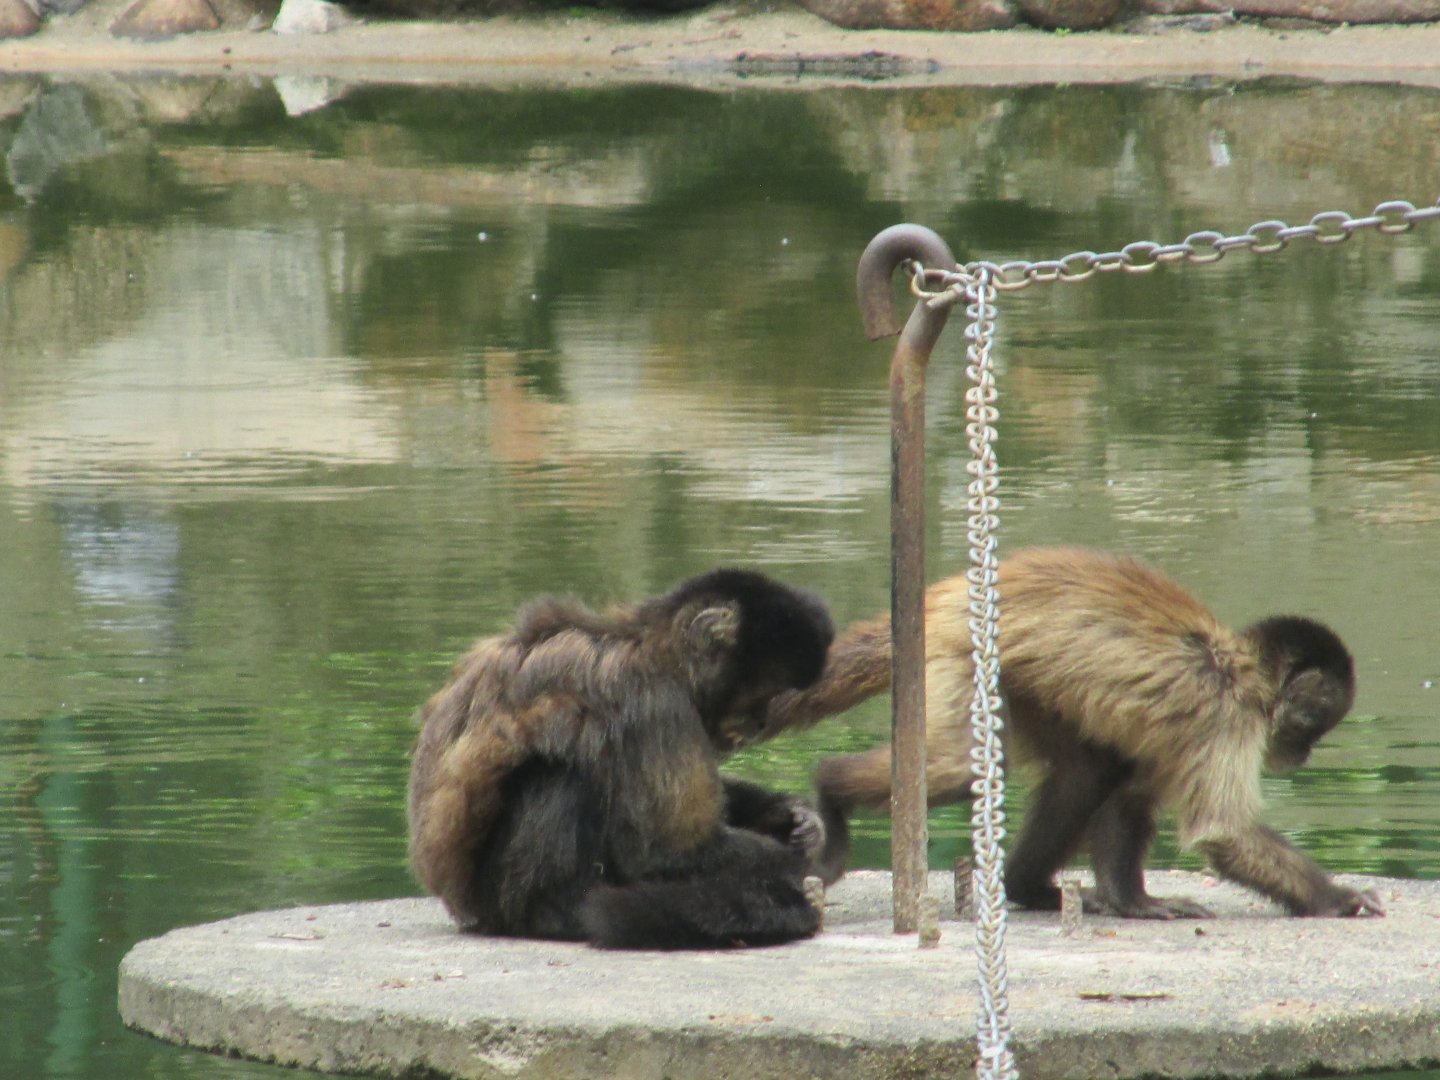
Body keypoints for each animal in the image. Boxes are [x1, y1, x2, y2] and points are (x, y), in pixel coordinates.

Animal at [406, 567, 836, 950]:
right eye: (762, 696)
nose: (761, 721)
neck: (645, 645)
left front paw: (789, 815)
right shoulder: (652, 699)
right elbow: (668, 851)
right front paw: (793, 865)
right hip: (498, 895)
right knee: (561, 774)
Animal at [762, 546, 1384, 920]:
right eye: (1311, 728)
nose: (1300, 758)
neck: (1233, 662)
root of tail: (946, 595)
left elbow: (1130, 796)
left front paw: (1135, 904)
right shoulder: (1226, 714)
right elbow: (1223, 832)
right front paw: (1339, 898)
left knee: (1089, 773)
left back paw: (1023, 888)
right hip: (960, 652)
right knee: (956, 768)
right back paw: (829, 789)